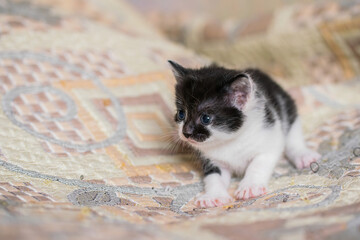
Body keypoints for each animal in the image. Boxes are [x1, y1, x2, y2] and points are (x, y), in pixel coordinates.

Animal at [169, 61, 320, 209]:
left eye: (205, 118)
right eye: (181, 114)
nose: (186, 133)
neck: (230, 141)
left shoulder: (271, 138)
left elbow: (257, 164)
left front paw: (250, 186)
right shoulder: (211, 159)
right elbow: (213, 177)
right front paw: (213, 196)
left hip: (287, 108)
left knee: (293, 135)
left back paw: (303, 155)